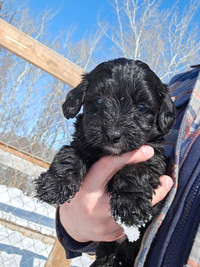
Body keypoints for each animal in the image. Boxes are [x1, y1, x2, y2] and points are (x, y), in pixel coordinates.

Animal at [35, 58, 175, 266]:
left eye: (141, 107)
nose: (112, 135)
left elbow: (137, 170)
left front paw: (129, 204)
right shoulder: (82, 143)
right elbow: (69, 155)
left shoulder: (153, 155)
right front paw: (54, 184)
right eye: (99, 101)